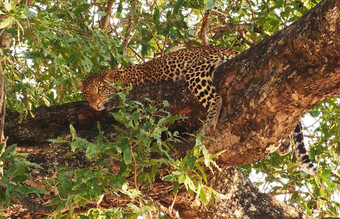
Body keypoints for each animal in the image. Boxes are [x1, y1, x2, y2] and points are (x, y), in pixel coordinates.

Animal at [78, 45, 318, 175]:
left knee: (217, 98)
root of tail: (228, 48)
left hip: (195, 72)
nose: (94, 104)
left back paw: (209, 125)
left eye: (100, 89)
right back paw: (284, 144)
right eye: (87, 94)